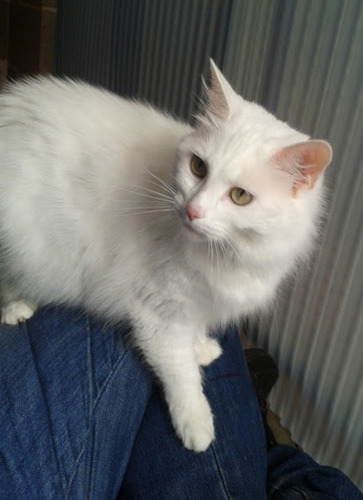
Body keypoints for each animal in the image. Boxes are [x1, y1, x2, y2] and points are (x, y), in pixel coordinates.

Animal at [0, 60, 332, 452]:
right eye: (198, 167)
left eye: (240, 196)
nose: (192, 210)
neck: (229, 255)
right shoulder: (156, 311)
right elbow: (180, 371)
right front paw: (196, 424)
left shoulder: (202, 300)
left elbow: (196, 328)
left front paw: (201, 347)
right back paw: (17, 307)